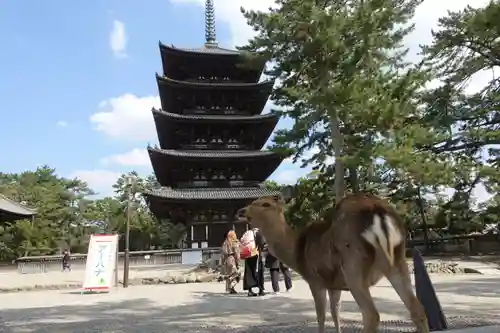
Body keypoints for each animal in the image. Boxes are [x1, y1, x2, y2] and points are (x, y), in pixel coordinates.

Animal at [236, 193, 428, 330]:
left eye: (265, 203)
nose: (241, 212)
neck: (297, 254)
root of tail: (378, 212)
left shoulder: (315, 280)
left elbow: (321, 316)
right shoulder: (335, 285)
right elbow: (336, 314)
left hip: (353, 265)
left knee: (371, 315)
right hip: (397, 259)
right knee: (417, 310)